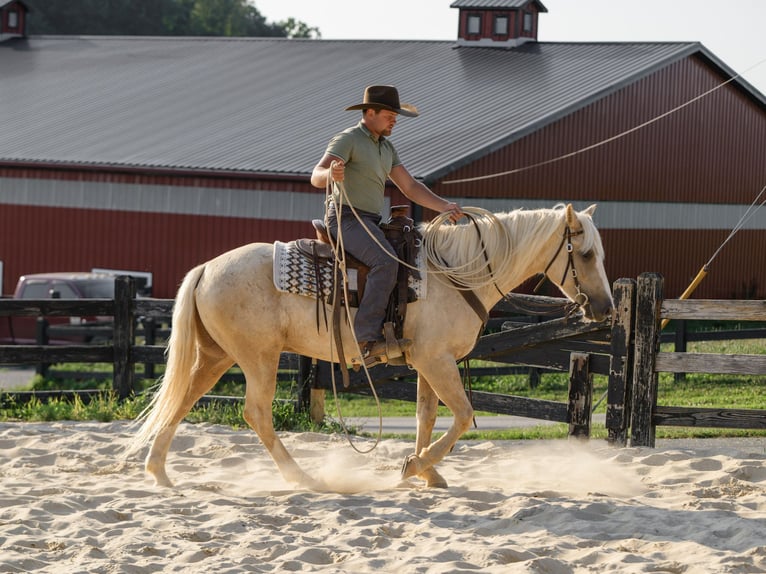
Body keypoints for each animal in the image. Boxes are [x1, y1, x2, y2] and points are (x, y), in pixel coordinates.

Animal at [132, 203, 613, 489]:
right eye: (586, 254)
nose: (607, 309)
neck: (456, 274)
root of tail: (207, 268)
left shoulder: (427, 362)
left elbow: (426, 416)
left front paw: (427, 472)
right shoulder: (436, 361)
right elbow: (462, 415)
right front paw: (416, 467)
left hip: (217, 356)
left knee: (183, 398)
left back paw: (158, 472)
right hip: (258, 358)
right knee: (256, 413)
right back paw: (302, 477)